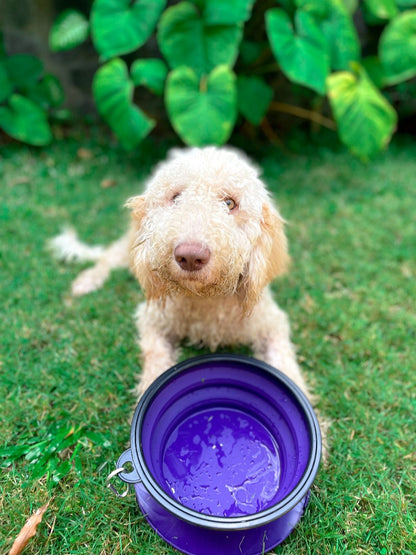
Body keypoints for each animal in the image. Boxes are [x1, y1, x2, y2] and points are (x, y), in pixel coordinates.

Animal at [50, 147, 312, 400]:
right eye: (176, 198)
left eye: (229, 203)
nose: (190, 256)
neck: (204, 300)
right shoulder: (152, 319)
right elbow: (155, 358)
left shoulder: (272, 323)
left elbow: (285, 363)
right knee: (107, 258)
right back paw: (87, 282)